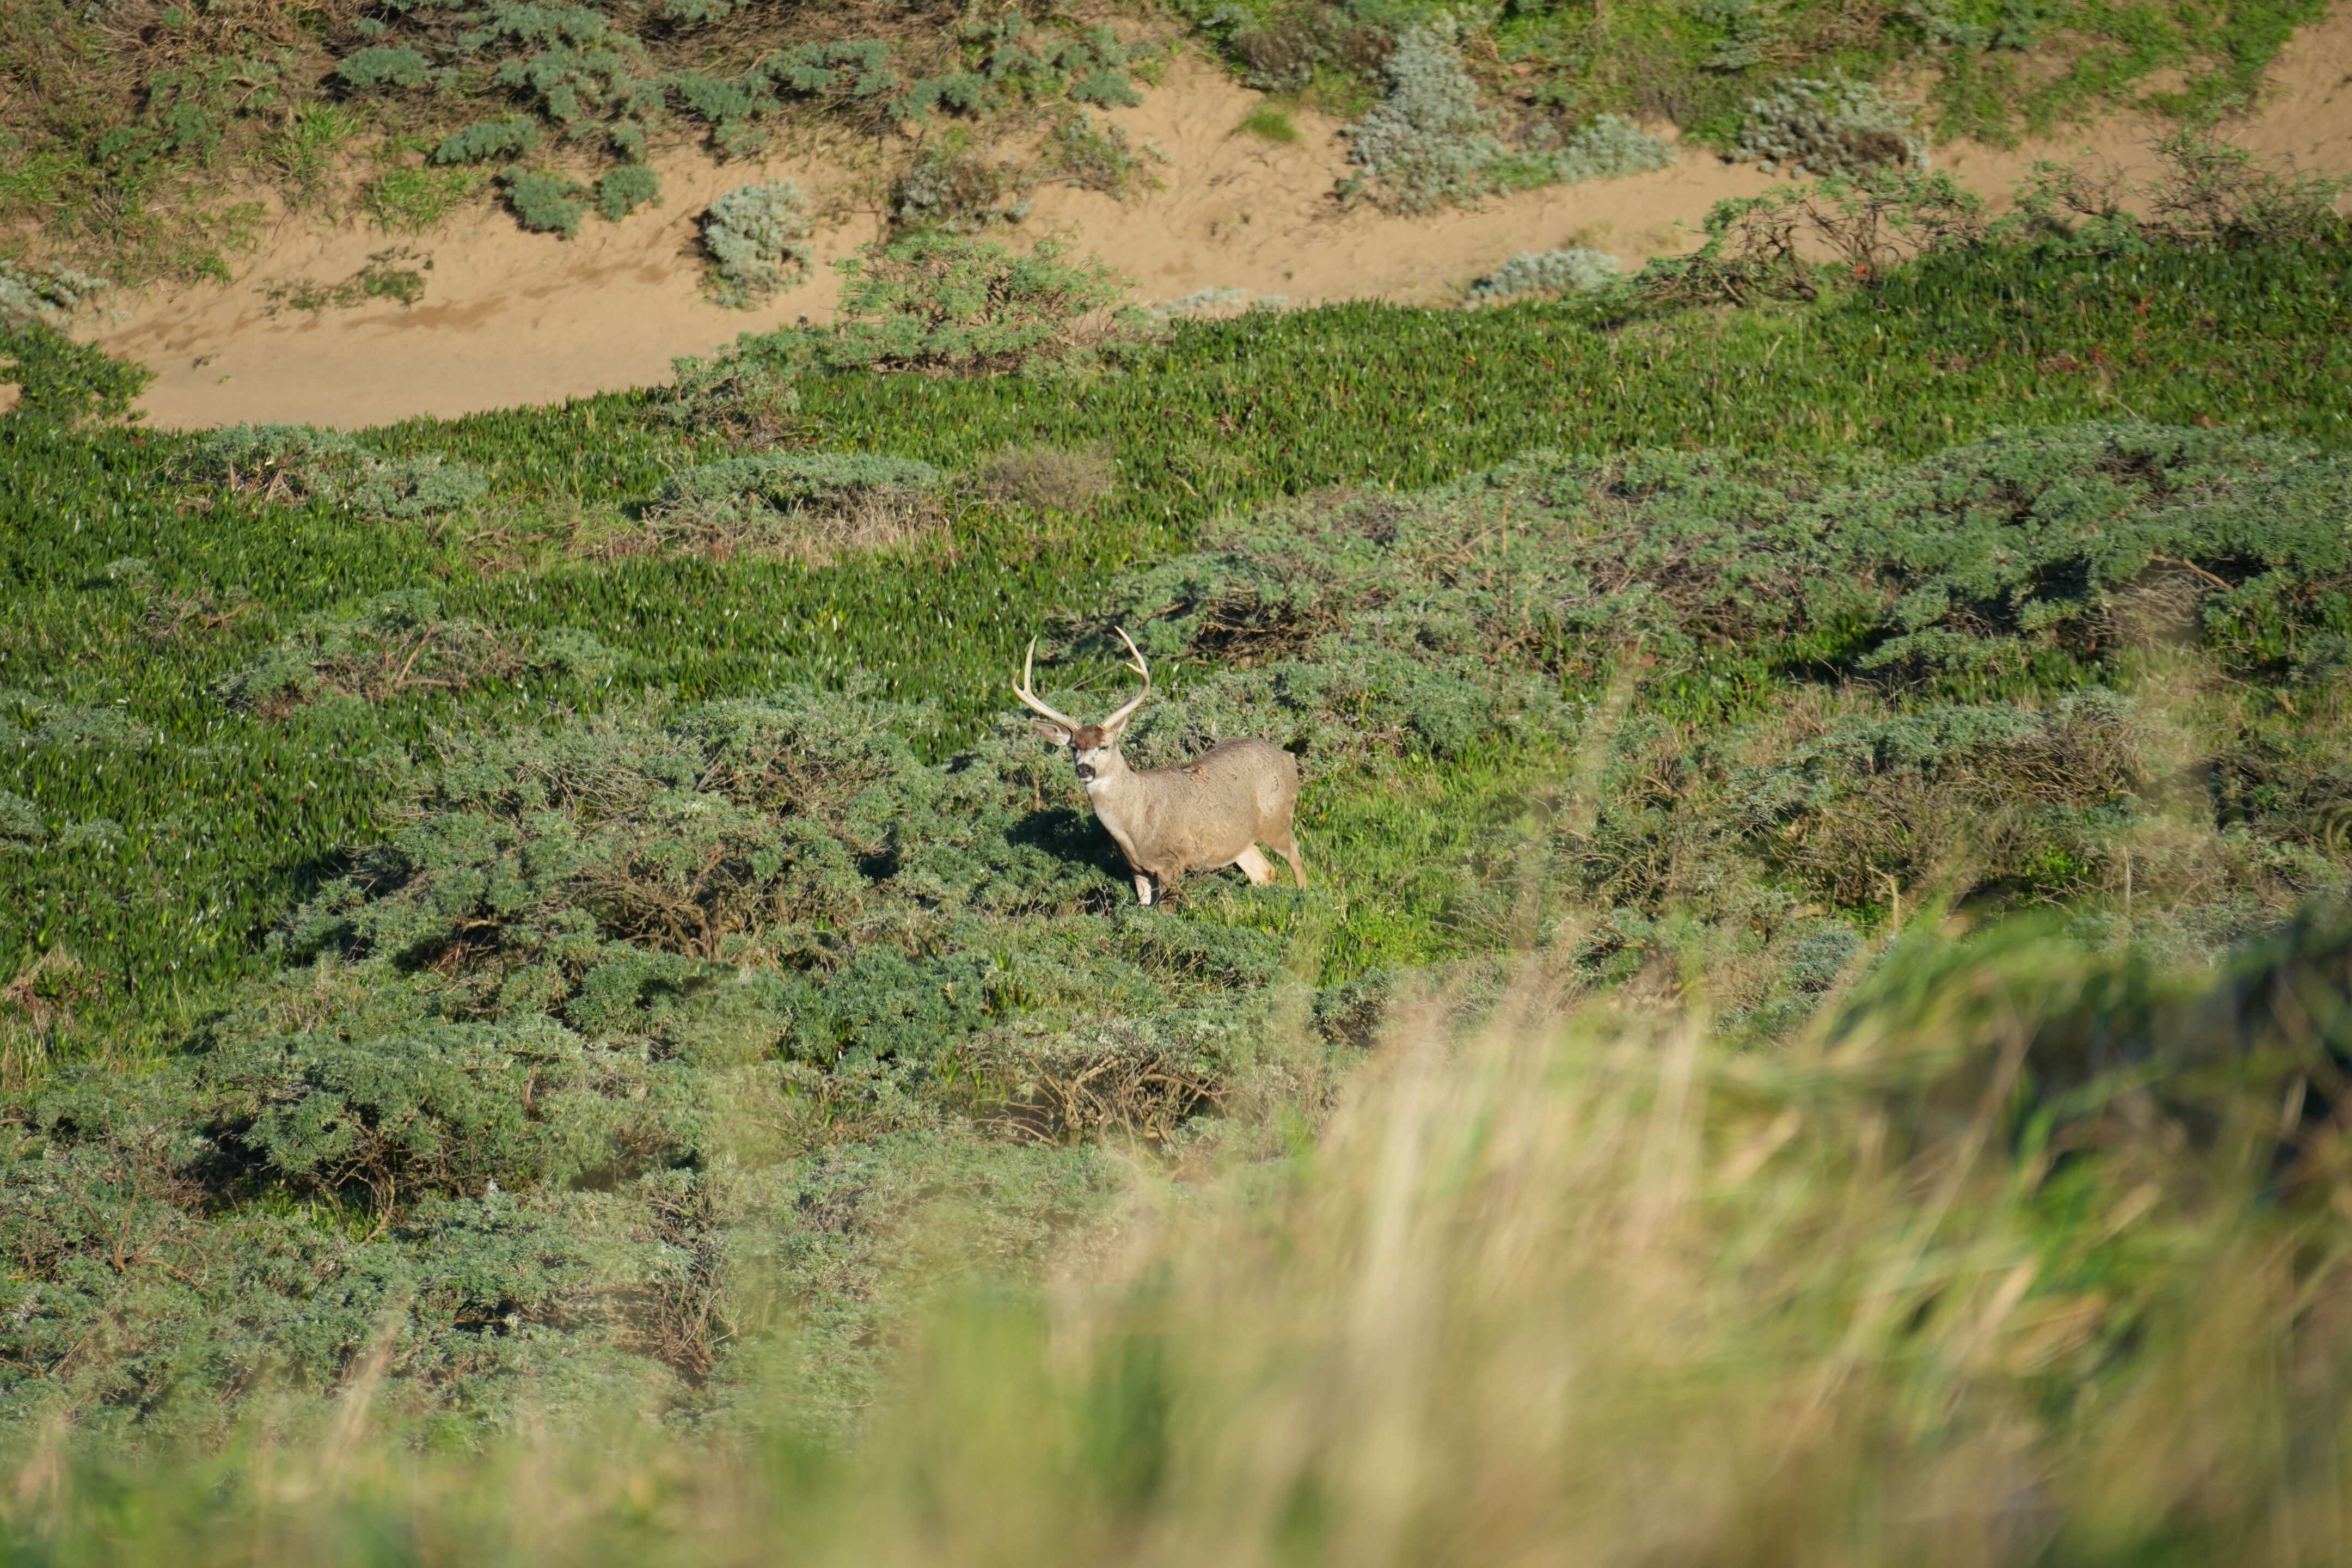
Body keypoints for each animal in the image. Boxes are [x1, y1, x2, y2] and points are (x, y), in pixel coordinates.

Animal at [1015, 629, 1307, 907]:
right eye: (1073, 747)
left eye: (1105, 746)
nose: (1085, 769)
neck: (1135, 823)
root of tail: (1288, 757)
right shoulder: (1138, 870)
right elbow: (1146, 908)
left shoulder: (1172, 862)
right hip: (1238, 839)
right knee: (1264, 871)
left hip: (1277, 816)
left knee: (1294, 853)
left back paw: (1303, 897)